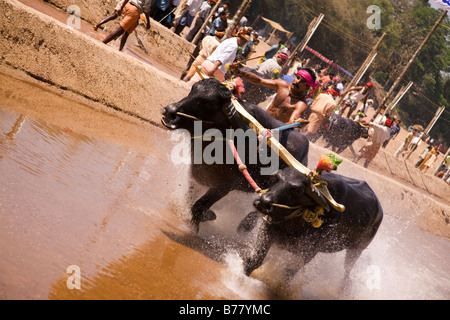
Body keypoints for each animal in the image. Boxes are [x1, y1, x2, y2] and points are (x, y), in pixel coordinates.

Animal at [162, 79, 312, 231]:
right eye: (193, 89)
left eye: (210, 104)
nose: (170, 112)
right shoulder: (195, 170)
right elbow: (190, 196)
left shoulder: (226, 184)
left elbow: (199, 206)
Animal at [243, 166, 384, 288]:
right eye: (275, 179)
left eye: (298, 190)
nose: (263, 202)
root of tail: (379, 212)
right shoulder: (268, 229)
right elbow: (256, 259)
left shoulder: (309, 251)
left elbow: (288, 272)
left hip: (356, 250)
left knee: (347, 271)